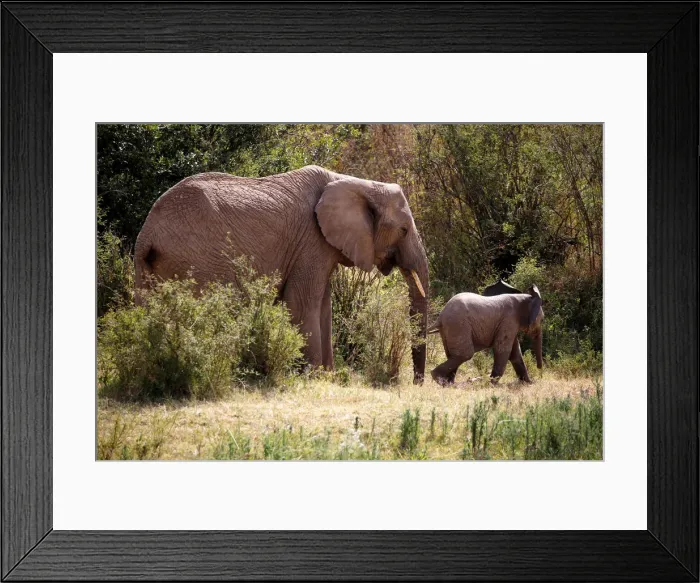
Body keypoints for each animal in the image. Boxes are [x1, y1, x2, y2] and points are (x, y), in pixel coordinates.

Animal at [134, 165, 430, 383]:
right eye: (403, 230)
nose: (417, 382)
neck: (356, 183)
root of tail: (148, 234)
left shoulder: (321, 246)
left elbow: (324, 307)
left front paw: (328, 376)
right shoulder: (311, 240)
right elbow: (302, 303)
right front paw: (312, 376)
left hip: (146, 268)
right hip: (197, 259)